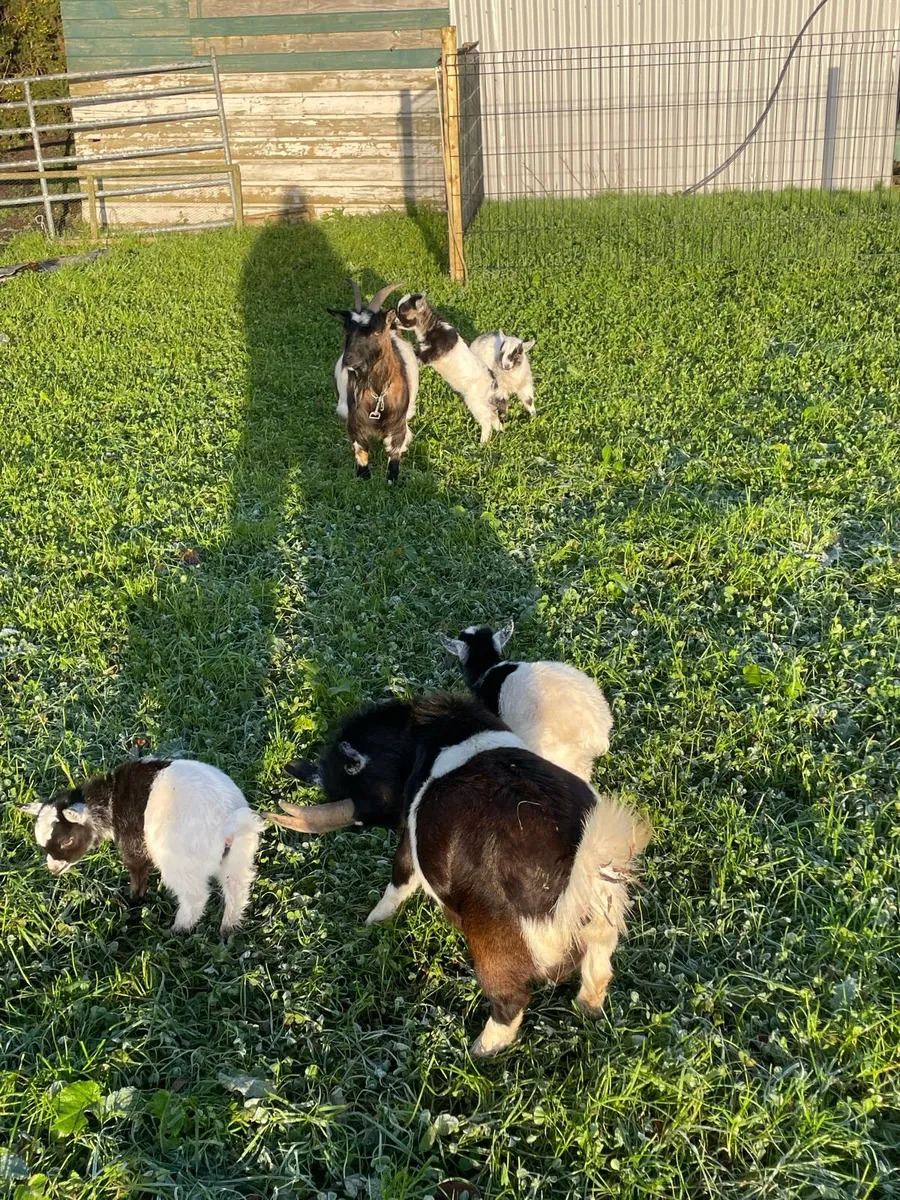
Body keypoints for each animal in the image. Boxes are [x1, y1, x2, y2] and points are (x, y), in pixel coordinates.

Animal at [23, 758, 265, 934]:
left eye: (67, 841)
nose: (53, 870)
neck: (111, 801)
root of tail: (227, 822)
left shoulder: (134, 843)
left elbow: (137, 870)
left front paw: (134, 902)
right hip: (239, 856)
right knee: (237, 887)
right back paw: (229, 927)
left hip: (180, 863)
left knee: (195, 897)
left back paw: (179, 929)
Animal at [272, 693, 650, 1056]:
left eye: (342, 773)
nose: (295, 768)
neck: (433, 739)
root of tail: (575, 875)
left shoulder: (410, 841)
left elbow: (399, 881)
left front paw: (371, 921)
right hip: (601, 936)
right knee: (598, 973)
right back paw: (587, 1009)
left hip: (492, 950)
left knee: (511, 1001)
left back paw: (481, 1049)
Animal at [330, 278, 418, 483]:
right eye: (346, 329)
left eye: (377, 332)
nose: (348, 359)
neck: (378, 392)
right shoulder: (356, 422)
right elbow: (362, 451)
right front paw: (363, 475)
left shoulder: (398, 424)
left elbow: (395, 451)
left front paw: (393, 479)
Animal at [394, 292, 506, 444]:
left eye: (402, 314)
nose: (393, 320)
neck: (434, 326)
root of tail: (493, 383)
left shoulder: (429, 355)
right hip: (484, 401)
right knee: (492, 414)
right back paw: (499, 429)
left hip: (475, 401)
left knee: (486, 419)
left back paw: (483, 441)